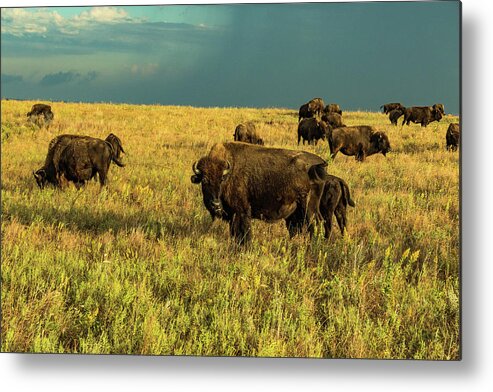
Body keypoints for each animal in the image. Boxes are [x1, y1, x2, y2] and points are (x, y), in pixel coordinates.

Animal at [190, 141, 328, 245]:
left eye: (222, 180)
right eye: (204, 180)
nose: (216, 204)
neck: (229, 172)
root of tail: (320, 162)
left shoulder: (242, 211)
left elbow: (244, 233)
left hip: (309, 208)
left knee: (316, 224)